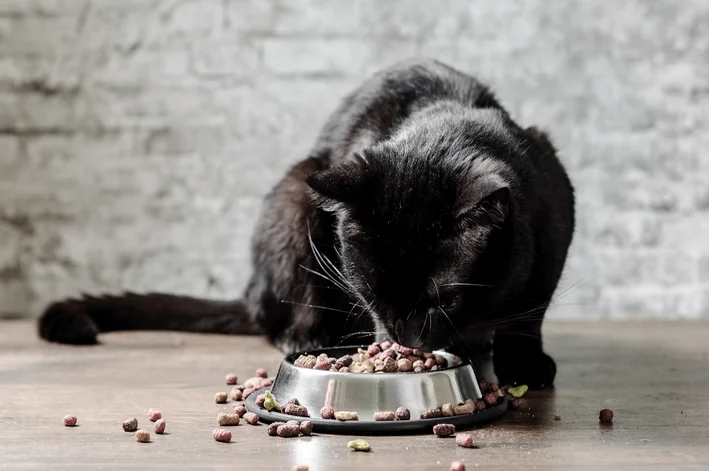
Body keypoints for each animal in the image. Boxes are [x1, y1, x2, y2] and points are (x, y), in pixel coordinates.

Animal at [38, 59, 572, 390]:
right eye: (371, 295)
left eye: (448, 300)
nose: (404, 340)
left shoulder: (554, 219)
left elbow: (530, 312)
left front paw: (525, 362)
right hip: (296, 192)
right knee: (282, 312)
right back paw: (309, 337)